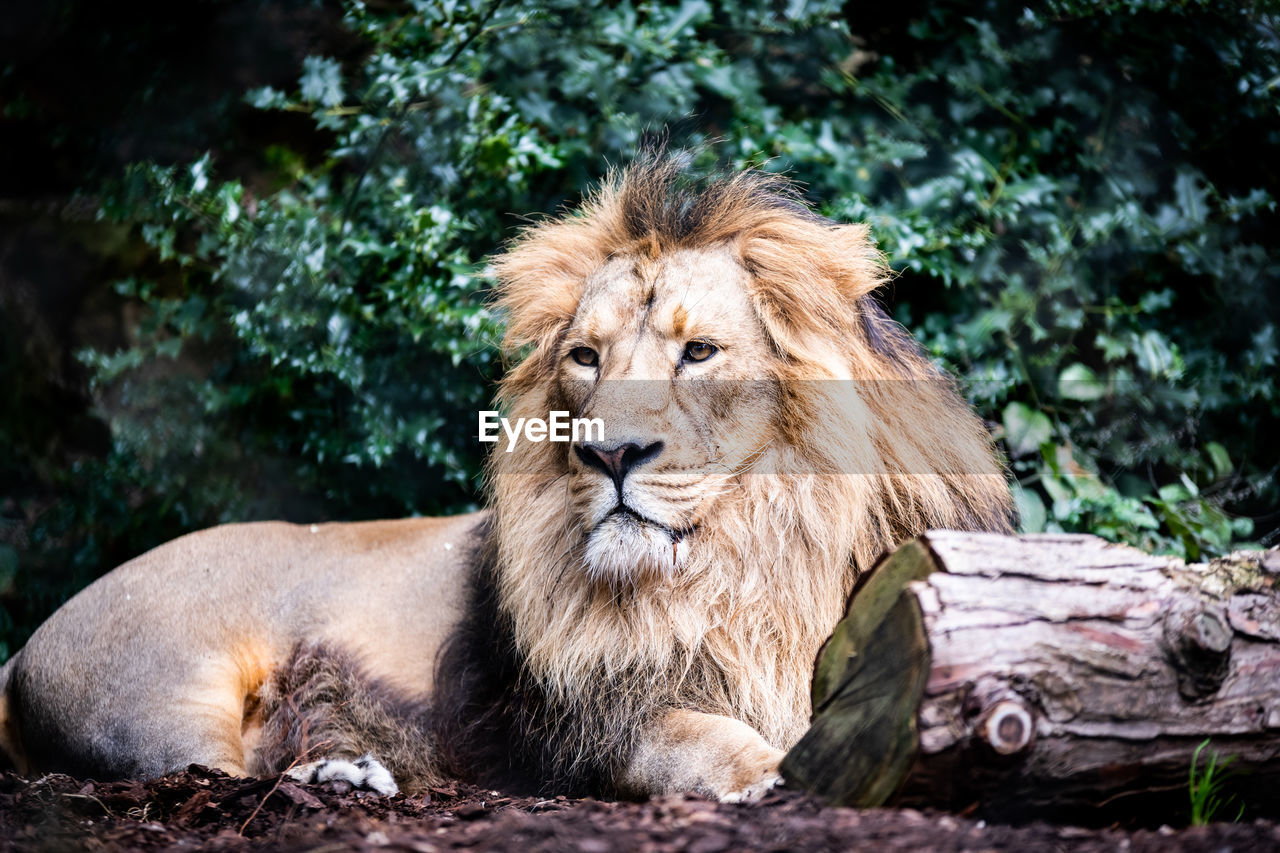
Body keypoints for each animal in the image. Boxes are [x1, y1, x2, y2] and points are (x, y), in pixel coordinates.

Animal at [2, 156, 1018, 799]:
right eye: (584, 356)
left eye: (698, 351)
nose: (610, 453)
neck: (749, 554)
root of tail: (21, 648)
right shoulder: (579, 721)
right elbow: (690, 735)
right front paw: (768, 768)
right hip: (162, 685)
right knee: (198, 773)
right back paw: (338, 773)